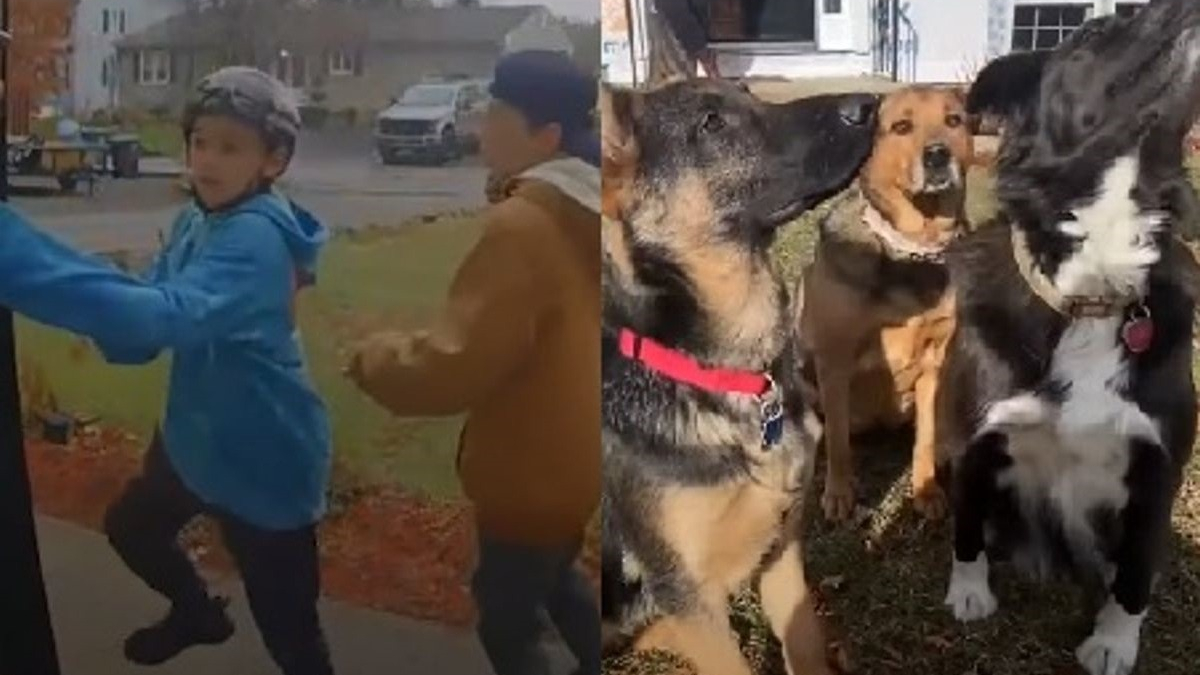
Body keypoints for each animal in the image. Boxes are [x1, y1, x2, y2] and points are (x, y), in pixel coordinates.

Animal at [796, 85, 974, 521]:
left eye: (954, 120)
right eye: (901, 126)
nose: (938, 155)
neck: (912, 249)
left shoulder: (935, 361)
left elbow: (923, 438)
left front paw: (927, 490)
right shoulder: (834, 361)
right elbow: (838, 441)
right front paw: (839, 494)